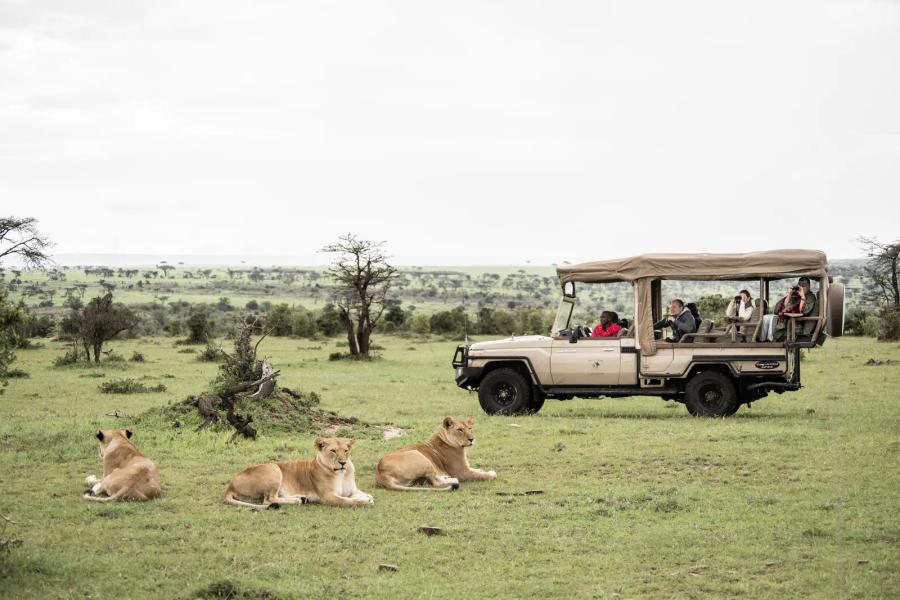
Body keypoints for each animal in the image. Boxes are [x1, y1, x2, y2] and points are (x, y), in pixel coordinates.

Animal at [223, 437, 374, 509]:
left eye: (346, 450)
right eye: (333, 451)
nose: (343, 463)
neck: (342, 474)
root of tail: (230, 486)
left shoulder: (352, 490)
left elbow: (364, 494)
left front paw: (367, 497)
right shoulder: (327, 496)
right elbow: (347, 501)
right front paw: (364, 502)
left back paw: (301, 498)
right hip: (274, 468)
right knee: (268, 499)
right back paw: (297, 500)